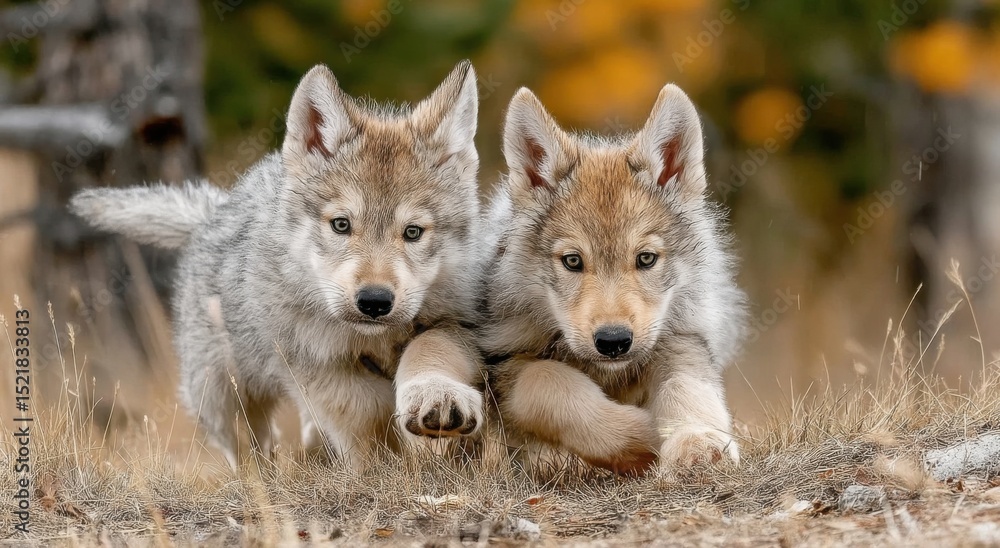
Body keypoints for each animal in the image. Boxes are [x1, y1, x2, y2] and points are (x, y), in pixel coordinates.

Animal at [71, 61, 487, 468]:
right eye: (341, 225)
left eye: (413, 232)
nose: (374, 302)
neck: (370, 339)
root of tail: (214, 211)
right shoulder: (316, 368)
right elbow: (367, 424)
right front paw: (384, 471)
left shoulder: (455, 325)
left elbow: (428, 354)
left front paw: (436, 401)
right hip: (221, 396)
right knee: (249, 452)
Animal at [481, 84, 747, 475]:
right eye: (572, 261)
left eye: (646, 259)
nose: (613, 341)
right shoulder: (502, 361)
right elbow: (546, 380)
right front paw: (641, 436)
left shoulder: (680, 335)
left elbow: (686, 385)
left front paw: (698, 442)